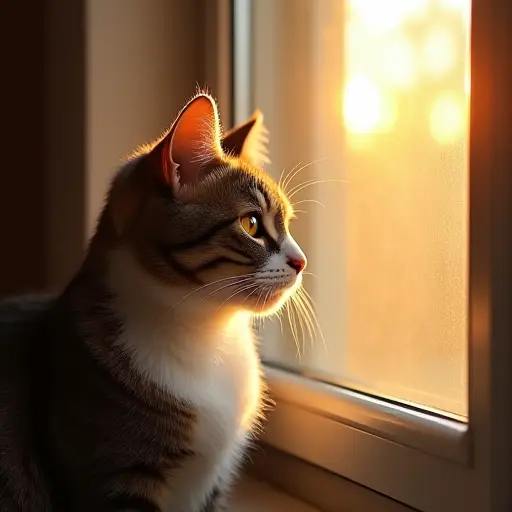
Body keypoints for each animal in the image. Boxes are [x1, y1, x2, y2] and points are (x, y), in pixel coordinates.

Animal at [0, 93, 304, 512]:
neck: (208, 332)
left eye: (288, 223)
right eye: (252, 225)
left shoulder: (213, 485)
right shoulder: (115, 477)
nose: (301, 261)